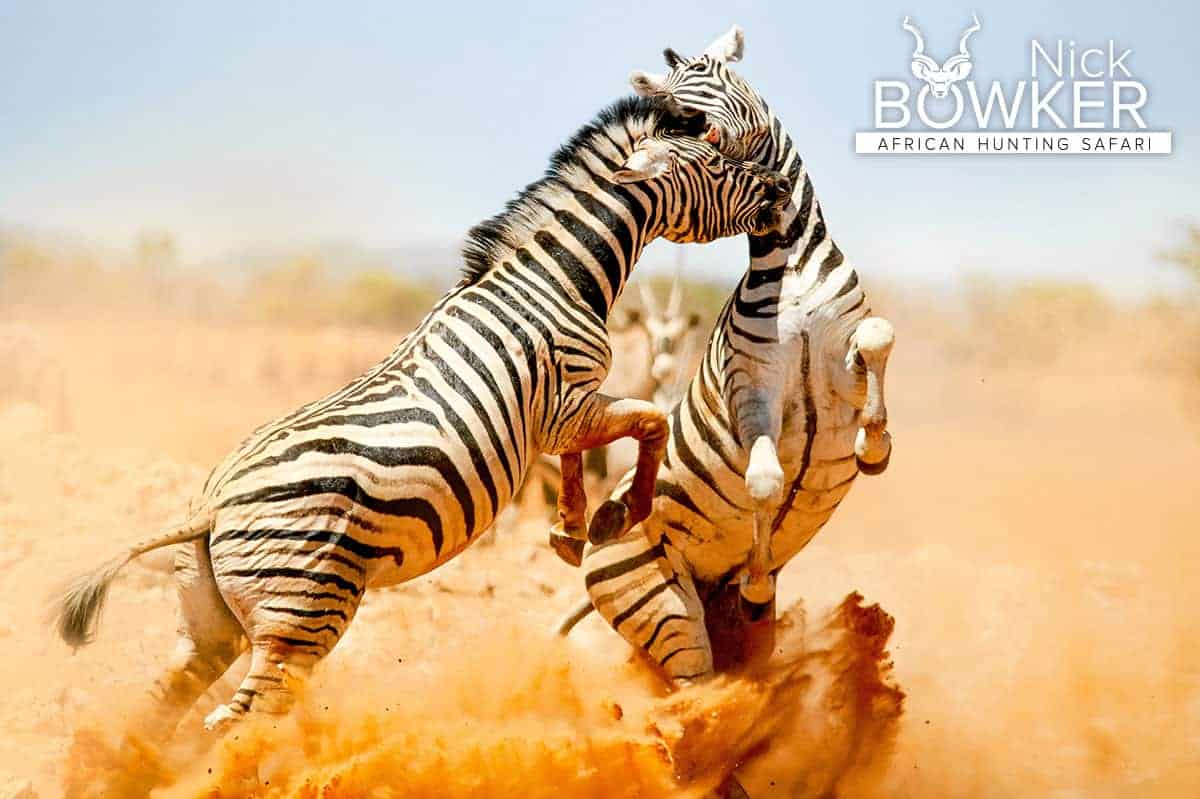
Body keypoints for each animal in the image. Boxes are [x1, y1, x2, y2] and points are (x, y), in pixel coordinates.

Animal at [51, 93, 792, 734]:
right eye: (720, 163)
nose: (783, 193)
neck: (556, 278)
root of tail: (213, 507)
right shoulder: (567, 402)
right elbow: (648, 423)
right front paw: (617, 514)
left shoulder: (560, 414)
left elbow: (596, 449)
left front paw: (571, 528)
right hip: (301, 617)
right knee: (235, 723)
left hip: (209, 625)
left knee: (153, 719)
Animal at [556, 26, 897, 686]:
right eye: (656, 90)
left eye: (704, 77)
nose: (654, 111)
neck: (789, 263)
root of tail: (591, 556)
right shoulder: (750, 384)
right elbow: (765, 479)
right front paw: (759, 581)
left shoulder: (843, 352)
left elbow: (878, 336)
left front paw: (875, 446)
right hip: (663, 609)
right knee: (690, 689)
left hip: (728, 624)